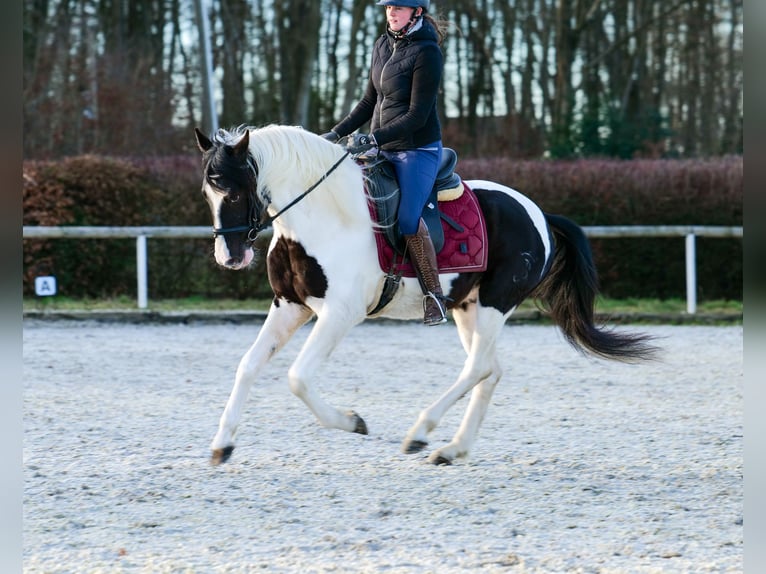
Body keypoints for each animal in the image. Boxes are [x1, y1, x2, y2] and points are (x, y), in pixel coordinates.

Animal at [195, 125, 656, 468]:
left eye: (234, 191)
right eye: (207, 193)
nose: (230, 257)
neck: (322, 218)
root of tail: (540, 214)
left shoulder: (339, 315)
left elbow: (298, 377)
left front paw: (353, 422)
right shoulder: (289, 306)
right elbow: (248, 365)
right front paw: (222, 444)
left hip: (494, 304)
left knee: (478, 368)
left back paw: (420, 433)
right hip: (468, 309)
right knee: (490, 370)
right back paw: (452, 449)